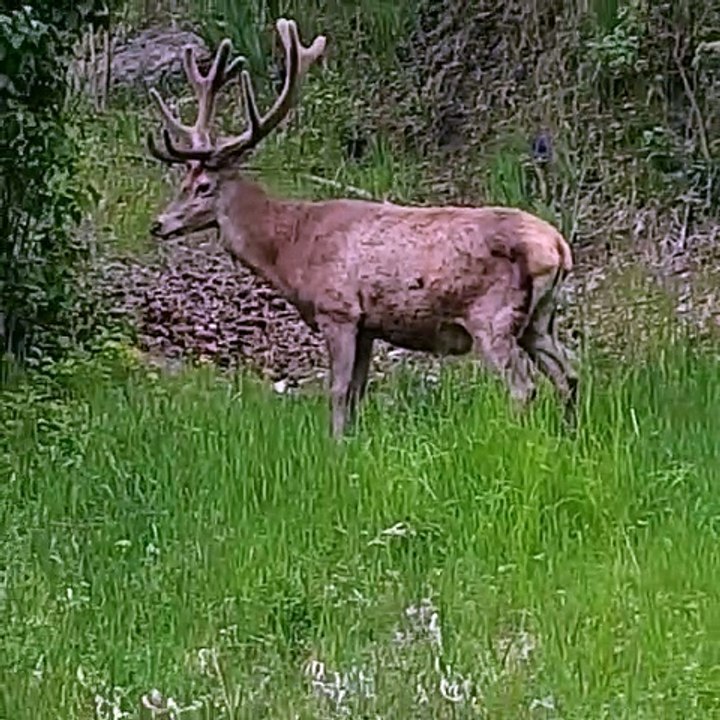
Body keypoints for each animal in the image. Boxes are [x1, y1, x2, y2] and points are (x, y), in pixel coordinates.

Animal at [145, 17, 579, 438]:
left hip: (493, 316)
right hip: (539, 319)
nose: (158, 224)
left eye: (203, 186)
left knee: (523, 386)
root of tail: (558, 248)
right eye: (182, 180)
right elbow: (356, 390)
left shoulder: (338, 310)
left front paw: (334, 447)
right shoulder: (368, 325)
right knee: (568, 374)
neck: (291, 247)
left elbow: (338, 391)